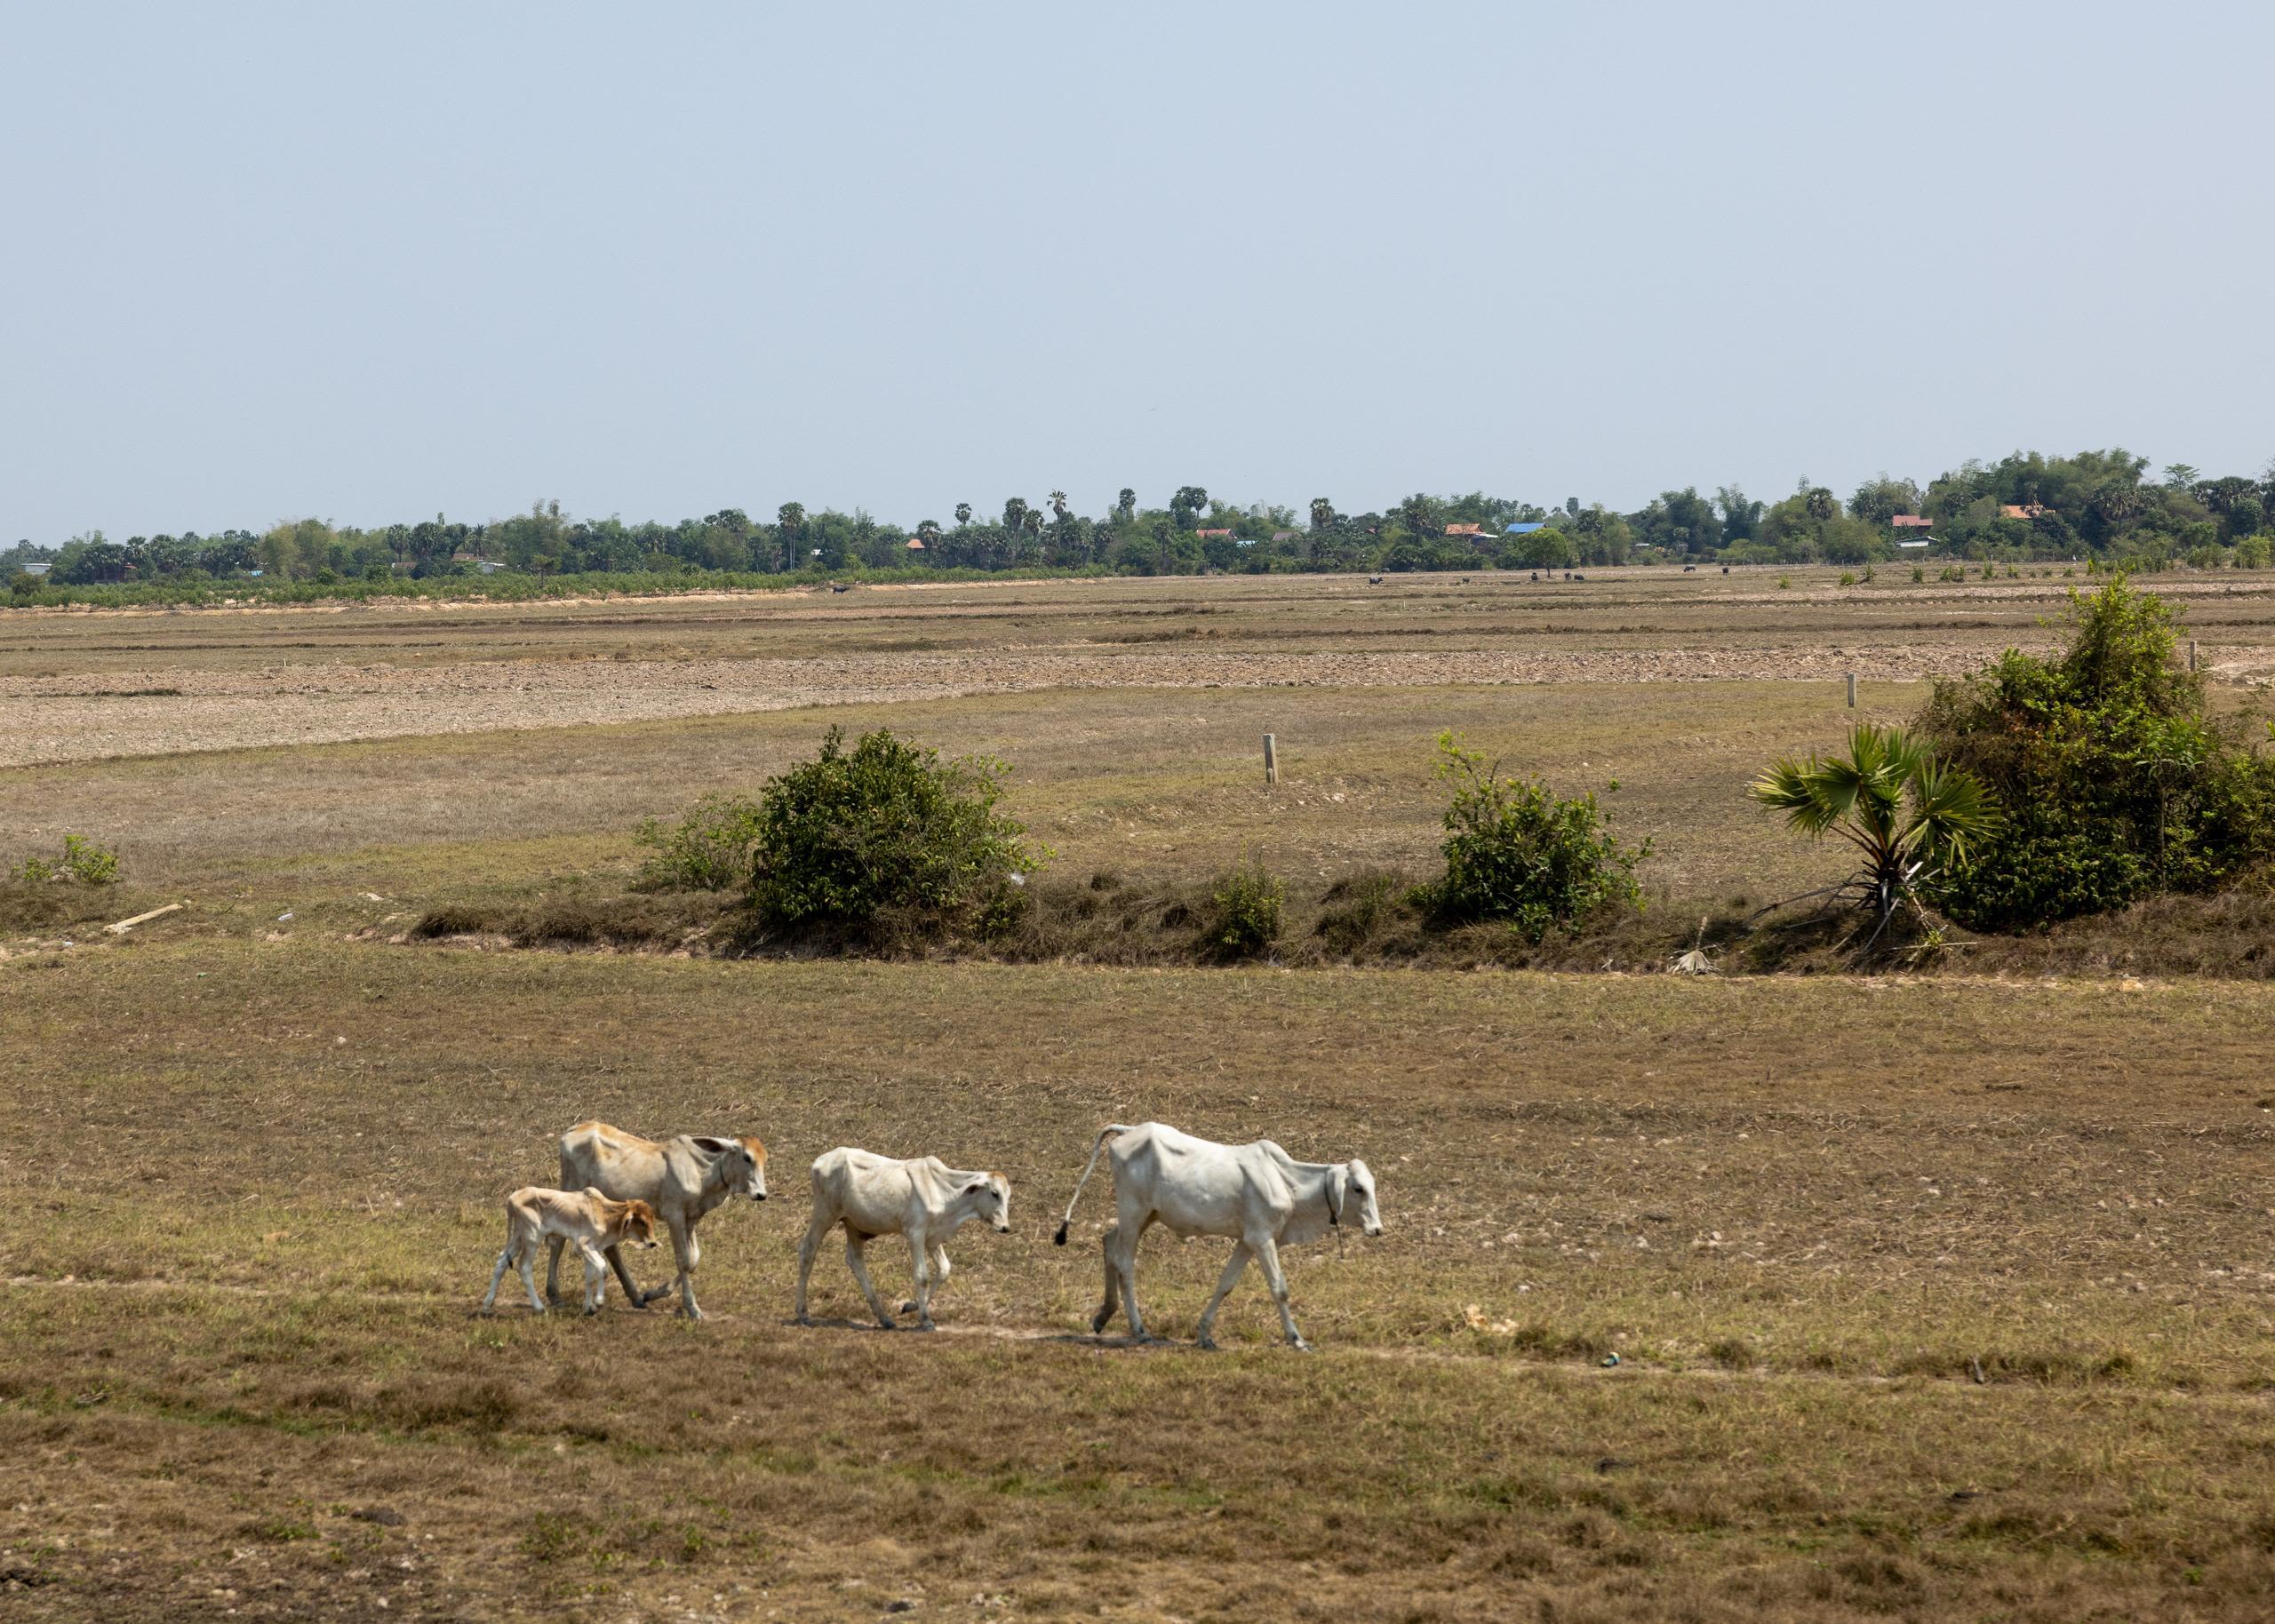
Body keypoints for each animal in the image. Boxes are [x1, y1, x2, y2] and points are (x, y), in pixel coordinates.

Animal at [483, 1186, 658, 1316]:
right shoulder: (582, 1245)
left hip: (518, 1238)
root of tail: (512, 1198)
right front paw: (599, 1302)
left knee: (501, 1262)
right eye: (642, 1221)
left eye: (652, 1219)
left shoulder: (592, 1249)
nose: (652, 1243)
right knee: (524, 1268)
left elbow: (590, 1278)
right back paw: (540, 1308)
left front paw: (589, 1308)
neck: (605, 1214)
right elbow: (603, 1269)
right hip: (531, 1238)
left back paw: (487, 1306)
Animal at [546, 1121, 767, 1320]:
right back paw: (554, 1295)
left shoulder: (691, 1219)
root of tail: (575, 1129)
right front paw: (692, 1309)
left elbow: (693, 1259)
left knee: (610, 1248)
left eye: (764, 1159)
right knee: (558, 1239)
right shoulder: (675, 1216)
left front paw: (652, 1294)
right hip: (570, 1190)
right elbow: (684, 1260)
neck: (702, 1170)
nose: (761, 1194)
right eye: (747, 1157)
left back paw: (636, 1296)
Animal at [795, 1149, 1011, 1330]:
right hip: (824, 1214)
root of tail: (821, 1160)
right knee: (808, 1251)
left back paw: (884, 1318)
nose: (1005, 1227)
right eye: (995, 1193)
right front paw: (926, 1320)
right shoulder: (916, 1234)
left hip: (853, 1225)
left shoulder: (933, 1238)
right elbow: (922, 1276)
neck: (945, 1191)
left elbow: (944, 1270)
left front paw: (910, 1306)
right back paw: (802, 1313)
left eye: (1008, 1195)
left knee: (856, 1261)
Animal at [1052, 1122, 1382, 1351]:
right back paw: (1139, 1329)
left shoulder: (1247, 1241)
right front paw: (1298, 1340)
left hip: (1146, 1215)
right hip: (1134, 1212)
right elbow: (1280, 1289)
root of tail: (1130, 1130)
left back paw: (1103, 1315)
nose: (1377, 1229)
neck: (1288, 1183)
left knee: (1109, 1241)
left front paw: (1205, 1335)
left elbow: (1225, 1285)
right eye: (1358, 1188)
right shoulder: (1262, 1239)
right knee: (1125, 1263)